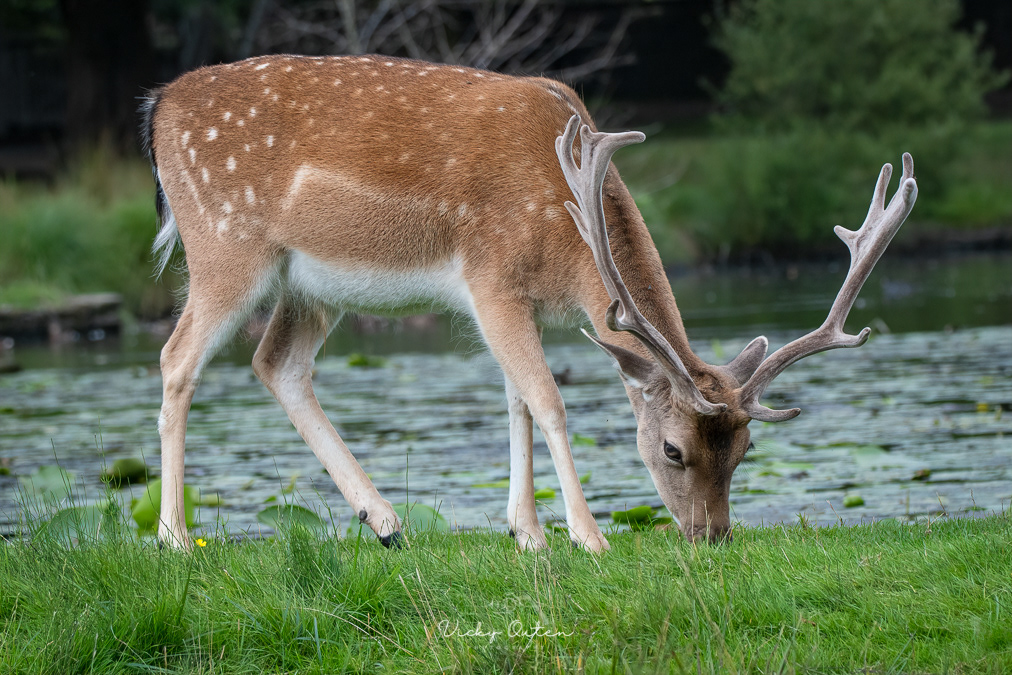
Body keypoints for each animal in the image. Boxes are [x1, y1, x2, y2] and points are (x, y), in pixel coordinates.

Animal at [141, 54, 917, 552]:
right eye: (672, 448)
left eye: (746, 447)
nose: (713, 536)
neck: (567, 233)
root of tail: (156, 109)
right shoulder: (491, 277)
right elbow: (548, 398)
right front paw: (588, 536)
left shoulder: (520, 304)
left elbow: (515, 397)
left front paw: (528, 533)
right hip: (225, 245)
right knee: (177, 358)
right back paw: (176, 536)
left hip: (309, 285)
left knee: (276, 364)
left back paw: (386, 521)